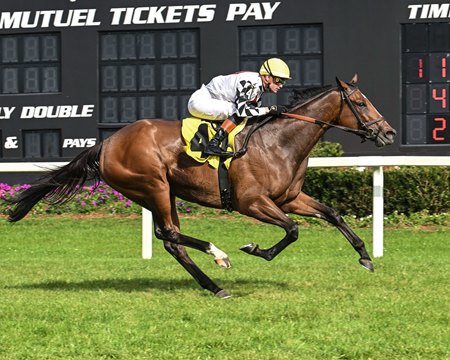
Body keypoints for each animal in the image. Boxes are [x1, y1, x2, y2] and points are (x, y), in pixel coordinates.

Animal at [6, 75, 394, 298]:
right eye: (361, 102)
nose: (388, 132)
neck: (278, 142)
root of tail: (106, 144)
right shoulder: (251, 202)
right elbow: (293, 230)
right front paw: (256, 249)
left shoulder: (291, 197)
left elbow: (333, 214)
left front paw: (365, 256)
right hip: (153, 186)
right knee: (170, 235)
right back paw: (217, 255)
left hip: (161, 192)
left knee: (171, 241)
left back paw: (214, 286)